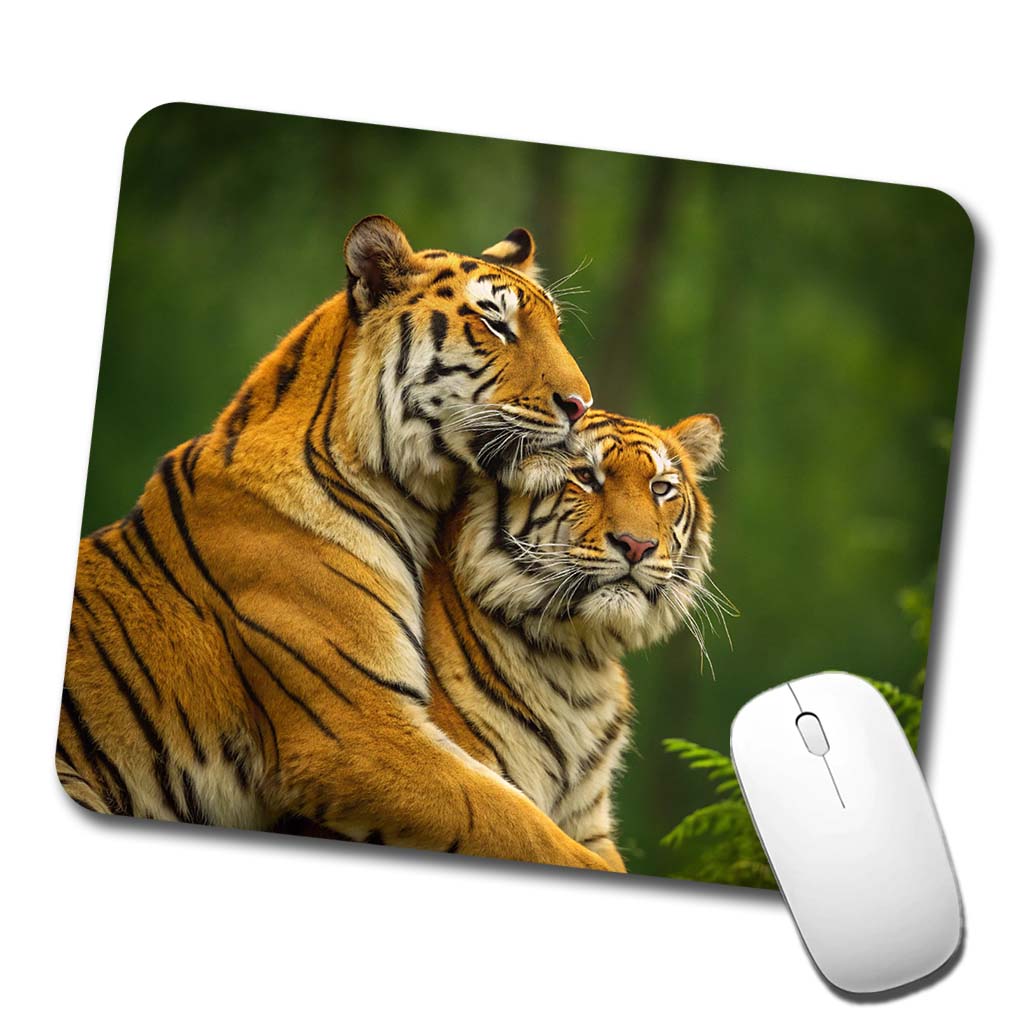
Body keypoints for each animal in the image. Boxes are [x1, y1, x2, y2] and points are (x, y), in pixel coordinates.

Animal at [57, 214, 618, 871]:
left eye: (555, 327)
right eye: (495, 324)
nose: (581, 405)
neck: (410, 497)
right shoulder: (359, 730)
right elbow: (522, 827)